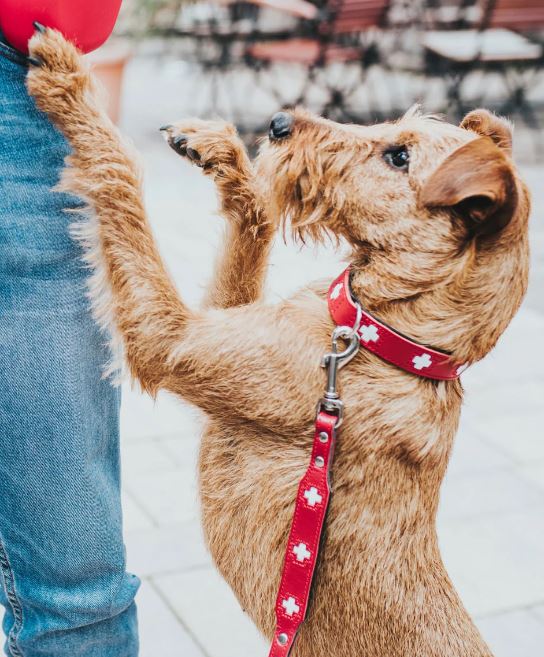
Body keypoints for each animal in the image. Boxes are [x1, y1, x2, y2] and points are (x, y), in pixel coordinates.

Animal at [27, 26, 528, 656]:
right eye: (392, 133)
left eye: (399, 157)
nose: (278, 123)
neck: (387, 338)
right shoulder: (220, 324)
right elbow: (256, 222)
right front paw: (221, 155)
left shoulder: (172, 338)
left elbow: (121, 176)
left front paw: (68, 81)